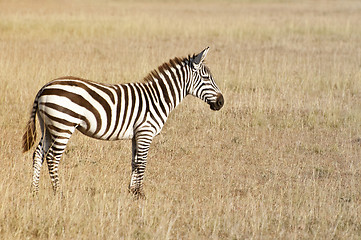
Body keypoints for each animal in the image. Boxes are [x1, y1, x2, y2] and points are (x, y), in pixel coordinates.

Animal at [21, 47, 222, 199]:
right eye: (206, 78)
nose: (221, 102)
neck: (158, 98)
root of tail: (44, 87)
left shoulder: (136, 134)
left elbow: (134, 162)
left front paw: (132, 191)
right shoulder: (145, 132)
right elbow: (142, 163)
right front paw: (140, 194)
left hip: (49, 127)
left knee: (38, 154)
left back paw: (34, 192)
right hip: (64, 125)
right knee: (52, 157)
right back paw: (59, 193)